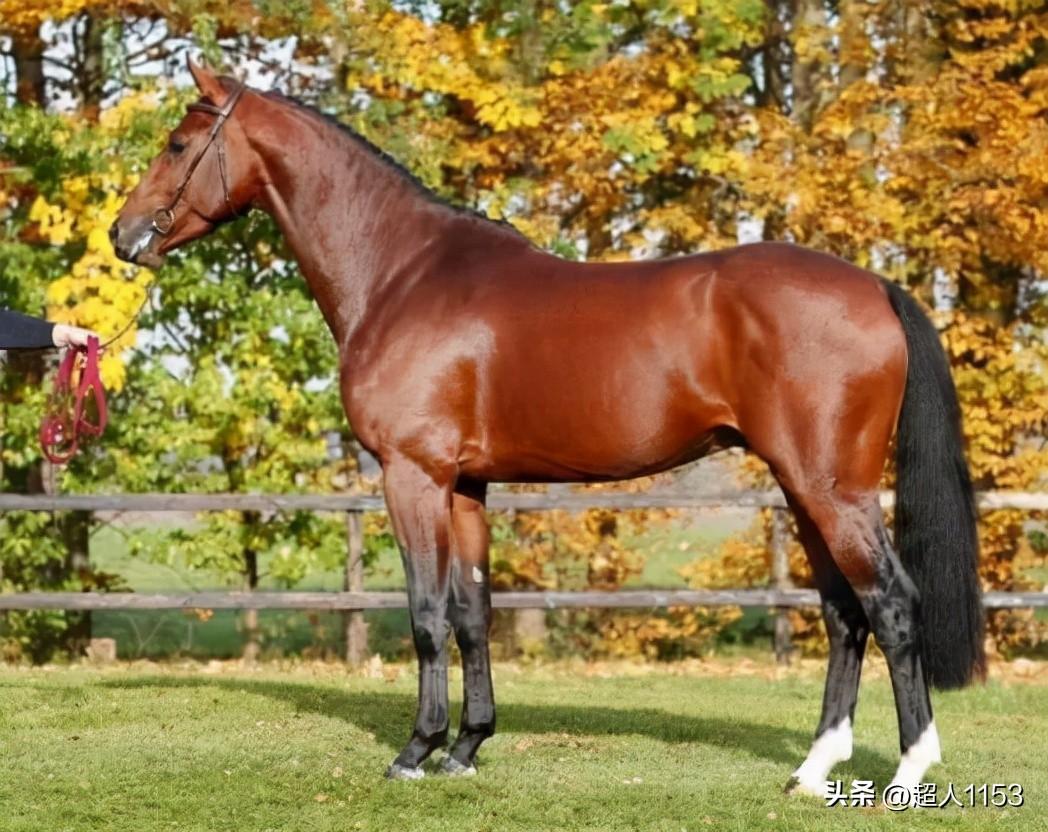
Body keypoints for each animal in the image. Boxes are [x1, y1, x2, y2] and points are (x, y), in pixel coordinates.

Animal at [111, 60, 984, 795]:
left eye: (179, 142)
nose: (124, 236)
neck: (402, 275)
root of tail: (875, 286)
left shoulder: (412, 476)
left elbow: (426, 615)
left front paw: (416, 751)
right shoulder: (466, 484)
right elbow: (471, 614)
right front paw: (467, 747)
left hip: (832, 490)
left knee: (891, 605)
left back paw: (909, 770)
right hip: (805, 490)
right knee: (844, 614)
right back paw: (812, 770)